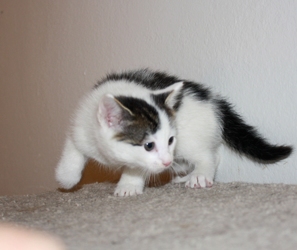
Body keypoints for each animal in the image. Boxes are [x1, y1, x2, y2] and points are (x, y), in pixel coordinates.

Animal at [55, 69, 292, 196]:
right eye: (149, 145)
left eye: (170, 139)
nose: (166, 161)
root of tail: (214, 101)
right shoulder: (82, 124)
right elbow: (73, 147)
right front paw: (66, 177)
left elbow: (138, 167)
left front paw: (129, 184)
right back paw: (182, 175)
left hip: (189, 140)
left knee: (211, 155)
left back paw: (199, 175)